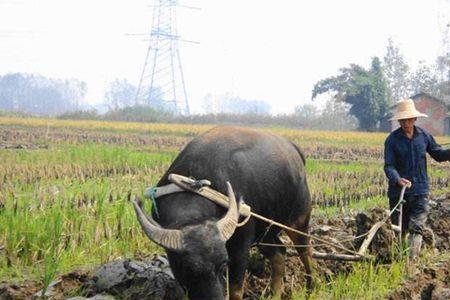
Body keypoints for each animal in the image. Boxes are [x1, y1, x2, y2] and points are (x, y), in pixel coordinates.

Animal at [133, 125, 312, 298]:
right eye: (187, 269)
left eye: (224, 263)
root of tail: (294, 149)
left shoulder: (241, 248)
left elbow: (235, 289)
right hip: (264, 233)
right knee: (280, 253)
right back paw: (274, 293)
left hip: (299, 220)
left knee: (305, 250)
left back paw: (312, 286)